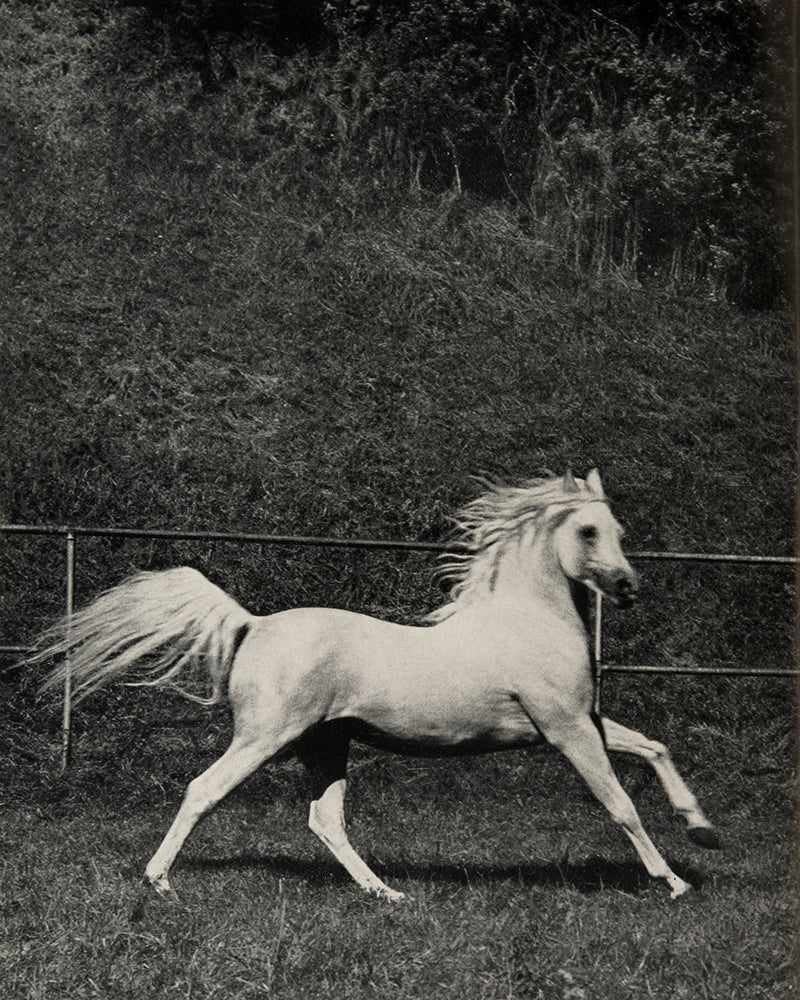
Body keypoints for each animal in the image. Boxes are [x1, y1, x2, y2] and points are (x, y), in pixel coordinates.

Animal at [31, 469, 719, 901]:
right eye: (586, 531)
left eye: (620, 533)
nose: (628, 588)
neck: (528, 620)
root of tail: (253, 624)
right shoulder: (565, 728)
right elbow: (620, 804)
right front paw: (674, 882)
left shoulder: (583, 721)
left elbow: (654, 747)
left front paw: (702, 830)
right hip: (265, 737)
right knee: (205, 790)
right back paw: (160, 881)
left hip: (325, 744)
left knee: (325, 821)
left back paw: (386, 893)